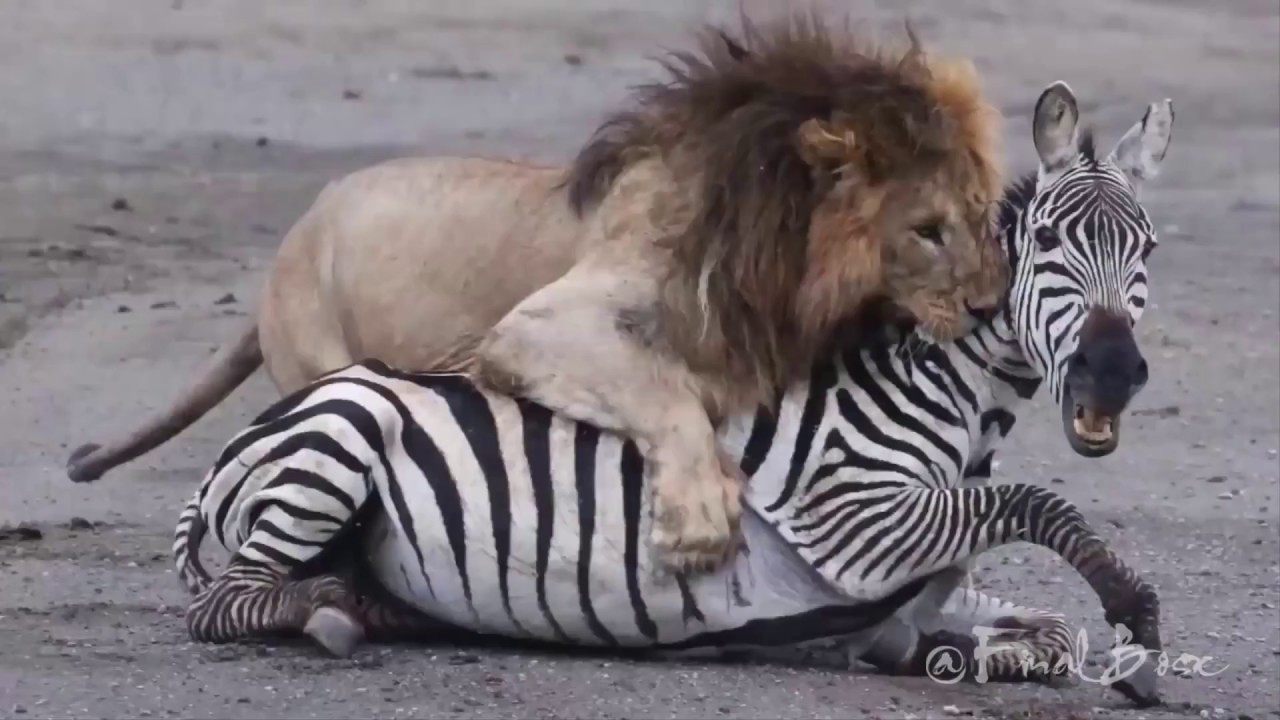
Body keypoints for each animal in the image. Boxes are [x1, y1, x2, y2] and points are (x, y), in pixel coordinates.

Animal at [68, 14, 1008, 575]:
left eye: (980, 216)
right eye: (927, 230)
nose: (991, 307)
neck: (771, 243)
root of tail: (286, 247)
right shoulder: (536, 329)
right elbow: (670, 395)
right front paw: (699, 517)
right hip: (318, 357)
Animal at [174, 82, 1174, 706]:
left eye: (1150, 251)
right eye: (1048, 244)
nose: (1112, 371)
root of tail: (261, 426)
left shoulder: (913, 582)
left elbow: (1049, 631)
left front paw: (978, 652)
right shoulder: (852, 522)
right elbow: (1039, 503)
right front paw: (1133, 610)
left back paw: (377, 607)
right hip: (341, 436)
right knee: (232, 601)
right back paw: (329, 614)